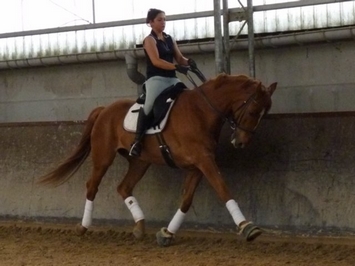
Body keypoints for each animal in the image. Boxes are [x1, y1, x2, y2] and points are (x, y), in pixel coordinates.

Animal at [38, 71, 278, 246]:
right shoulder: (204, 160)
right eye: (253, 110)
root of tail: (104, 109)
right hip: (103, 156)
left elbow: (186, 199)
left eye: (265, 112)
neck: (201, 111)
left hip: (141, 162)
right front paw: (247, 227)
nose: (241, 143)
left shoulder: (197, 165)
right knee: (92, 186)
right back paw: (83, 226)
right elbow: (223, 189)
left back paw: (139, 226)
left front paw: (167, 234)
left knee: (124, 187)